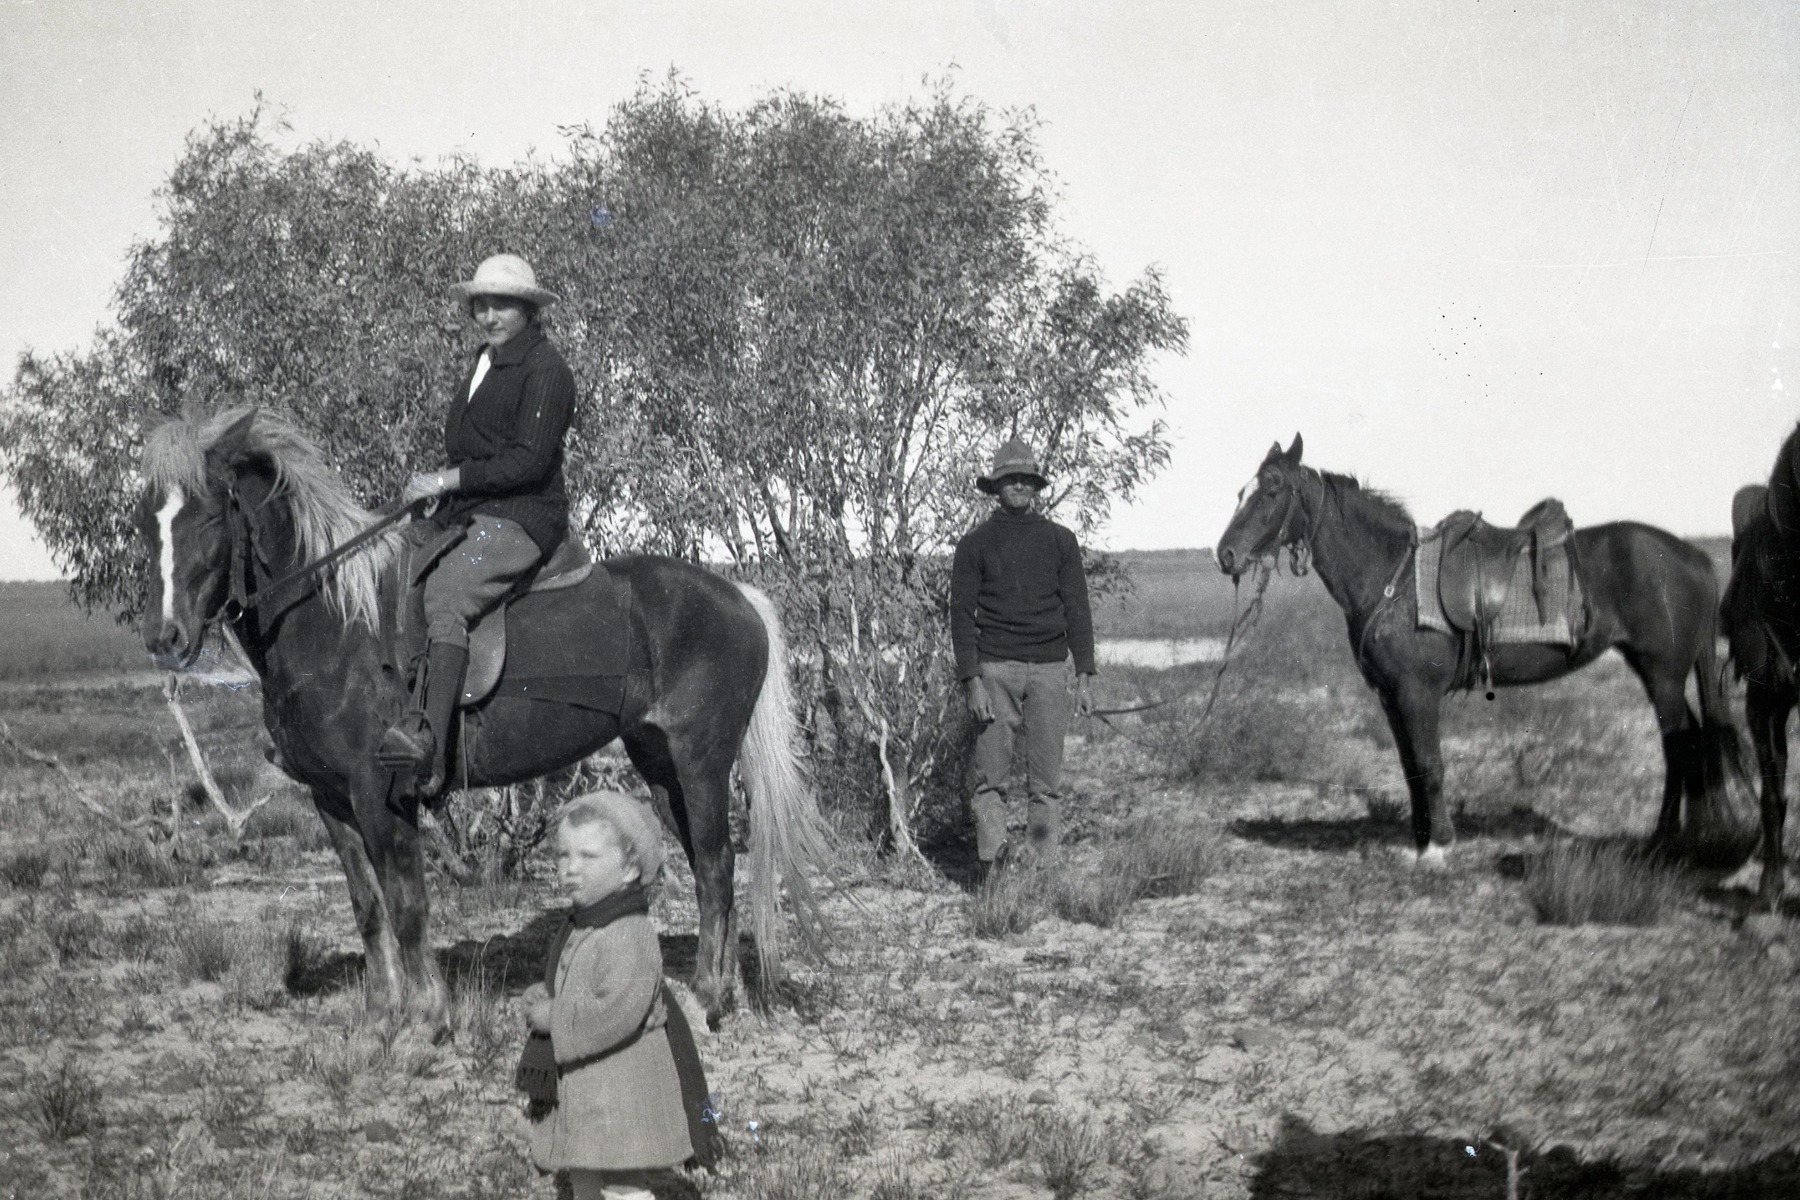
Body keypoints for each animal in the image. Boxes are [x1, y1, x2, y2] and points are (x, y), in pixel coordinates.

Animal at [138, 408, 828, 1029]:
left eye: (209, 514)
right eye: (149, 524)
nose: (165, 638)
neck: (335, 621)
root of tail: (739, 597)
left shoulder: (377, 792)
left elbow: (406, 903)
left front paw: (426, 1018)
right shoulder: (330, 798)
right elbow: (368, 907)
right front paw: (380, 1015)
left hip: (702, 760)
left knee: (715, 866)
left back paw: (712, 998)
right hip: (660, 765)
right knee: (712, 867)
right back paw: (722, 987)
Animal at [1209, 437, 1742, 867]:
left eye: (1272, 490)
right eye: (1242, 490)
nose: (1226, 555)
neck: (1392, 579)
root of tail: (1695, 557)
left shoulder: (1417, 692)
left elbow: (1430, 764)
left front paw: (1438, 846)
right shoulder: (1391, 696)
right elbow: (1411, 768)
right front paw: (1419, 842)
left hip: (1663, 674)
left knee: (1679, 746)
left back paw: (1663, 840)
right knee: (1690, 740)